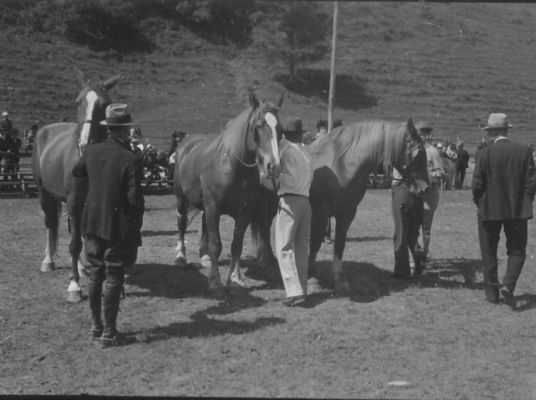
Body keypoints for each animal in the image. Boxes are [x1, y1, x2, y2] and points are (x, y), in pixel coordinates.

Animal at [31, 70, 121, 302]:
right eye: (78, 101)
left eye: (105, 103)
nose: (85, 143)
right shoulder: (74, 202)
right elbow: (73, 244)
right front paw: (74, 286)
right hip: (45, 194)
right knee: (50, 224)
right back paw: (48, 261)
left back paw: (80, 267)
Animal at [175, 91, 284, 296]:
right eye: (257, 127)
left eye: (280, 130)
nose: (273, 166)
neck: (233, 166)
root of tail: (186, 143)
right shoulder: (214, 208)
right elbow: (216, 245)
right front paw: (215, 282)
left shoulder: (245, 212)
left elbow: (236, 245)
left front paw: (234, 279)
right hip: (181, 198)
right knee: (182, 224)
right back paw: (180, 257)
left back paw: (204, 257)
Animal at [304, 118, 430, 290]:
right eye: (419, 154)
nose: (424, 189)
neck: (341, 164)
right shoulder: (320, 214)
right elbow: (315, 242)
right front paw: (312, 278)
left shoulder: (347, 214)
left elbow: (340, 244)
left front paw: (338, 279)